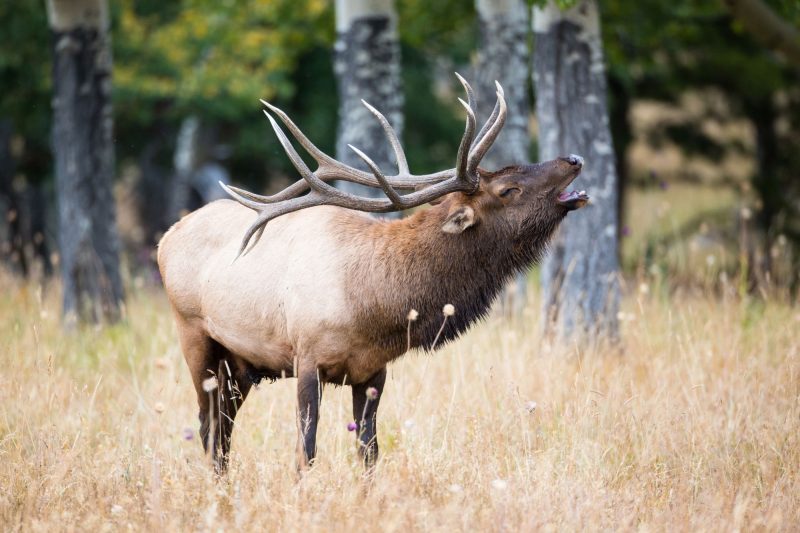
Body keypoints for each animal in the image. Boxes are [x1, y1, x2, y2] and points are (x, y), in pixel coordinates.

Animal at [157, 74, 588, 473]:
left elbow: (369, 453)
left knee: (224, 427)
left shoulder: (373, 372)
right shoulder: (306, 356)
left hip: (241, 364)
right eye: (508, 189)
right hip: (194, 334)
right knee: (208, 425)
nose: (573, 159)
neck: (372, 304)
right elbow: (306, 451)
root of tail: (166, 236)